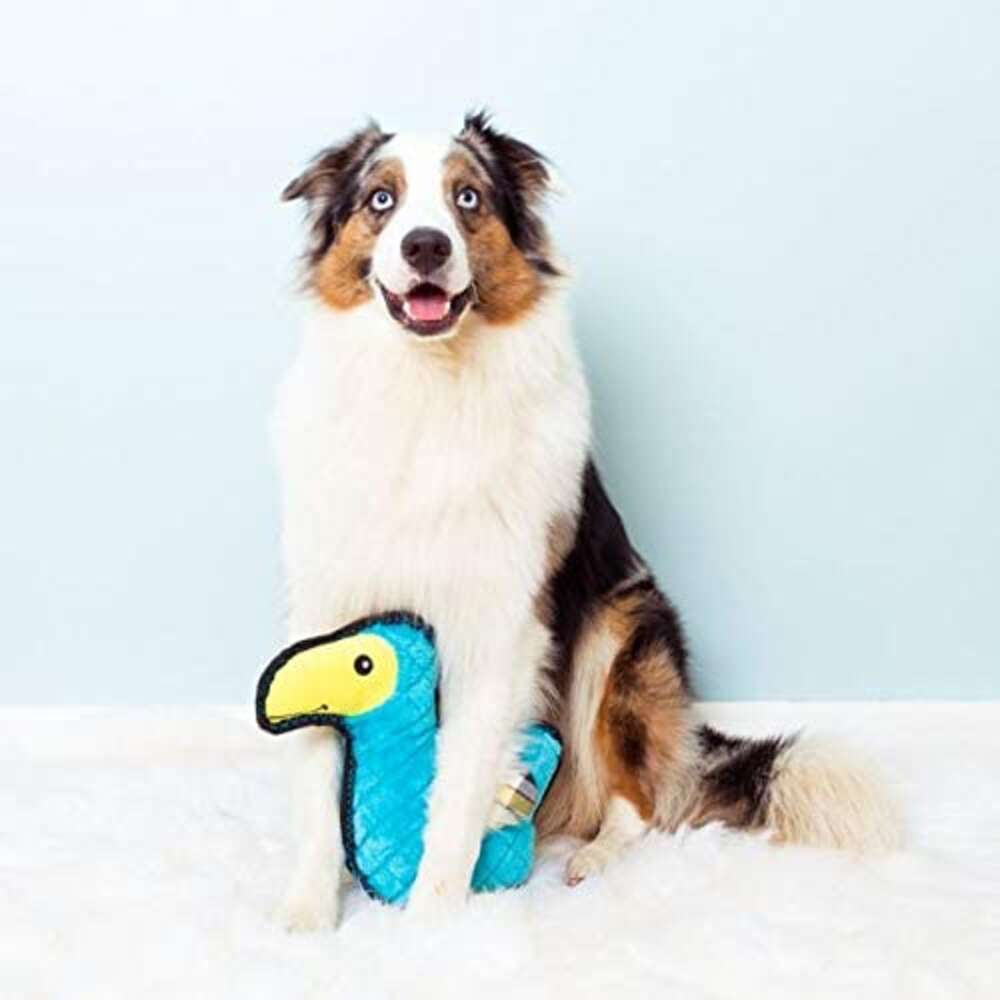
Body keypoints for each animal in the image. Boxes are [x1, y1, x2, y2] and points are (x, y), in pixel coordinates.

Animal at [273, 112, 901, 930]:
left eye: (467, 198)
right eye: (382, 199)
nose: (426, 246)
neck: (429, 385)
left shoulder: (501, 626)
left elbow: (456, 792)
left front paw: (431, 924)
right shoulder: (330, 611)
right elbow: (318, 779)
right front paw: (307, 913)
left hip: (621, 629)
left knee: (639, 801)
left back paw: (593, 856)